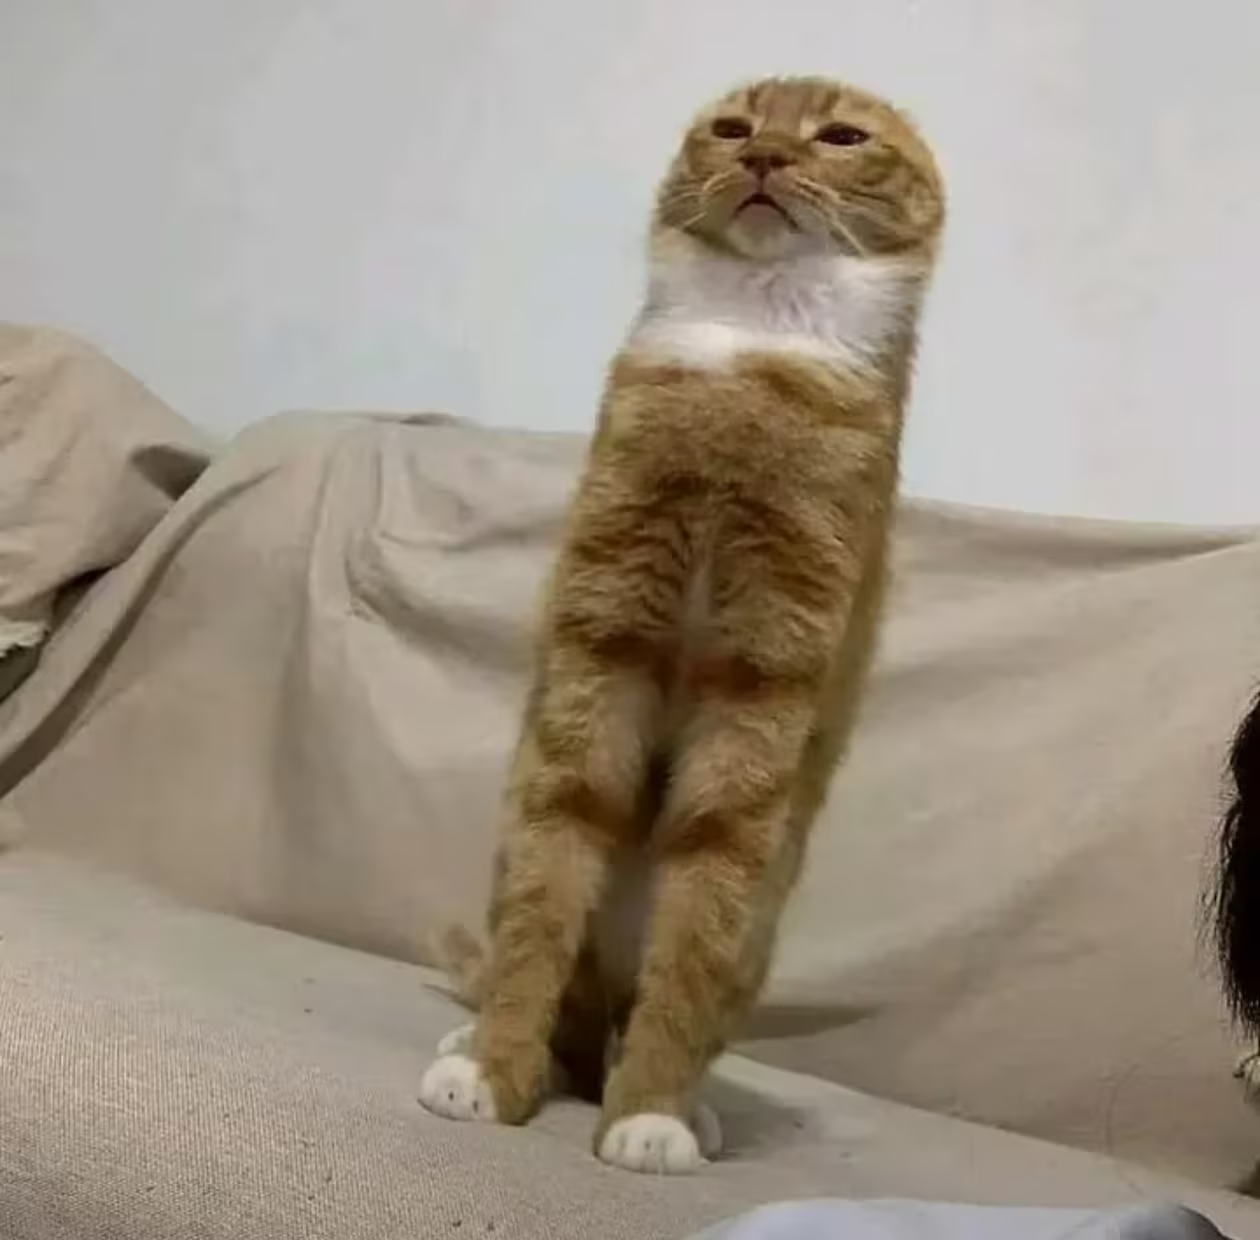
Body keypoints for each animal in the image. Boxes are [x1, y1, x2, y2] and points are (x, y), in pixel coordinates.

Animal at [419, 75, 946, 1174]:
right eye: (733, 126)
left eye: (841, 136)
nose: (765, 158)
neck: (750, 353)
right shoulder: (602, 634)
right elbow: (542, 909)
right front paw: (493, 1069)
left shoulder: (767, 682)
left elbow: (697, 929)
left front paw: (651, 1113)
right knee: (570, 1014)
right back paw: (480, 1039)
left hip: (761, 941)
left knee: (659, 1010)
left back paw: (689, 1106)